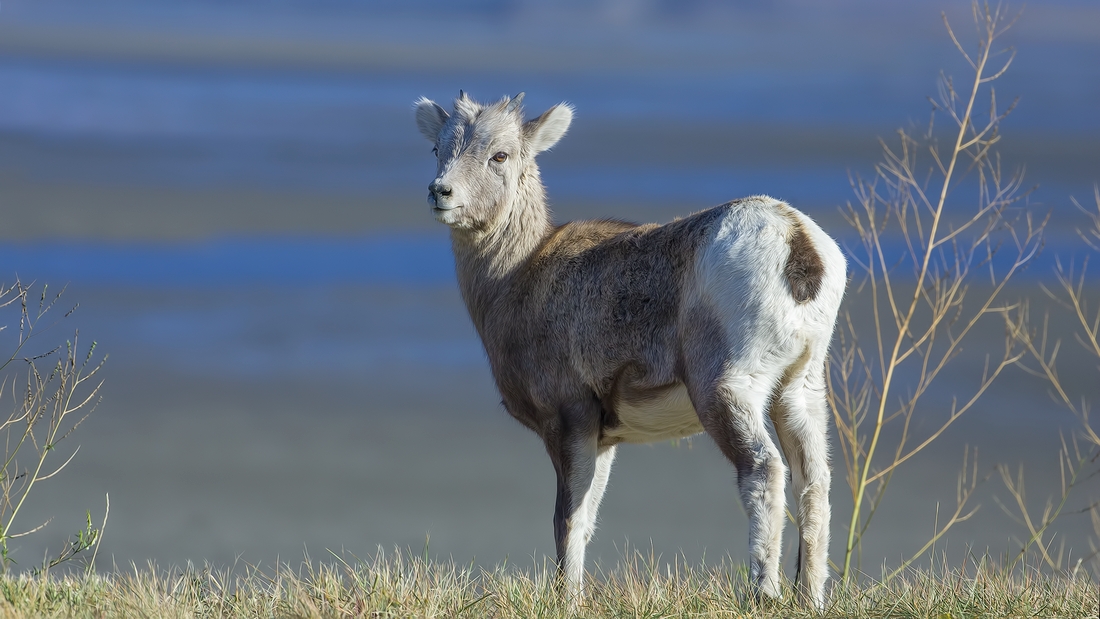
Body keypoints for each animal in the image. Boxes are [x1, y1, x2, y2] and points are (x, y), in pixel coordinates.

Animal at [415, 93, 844, 611]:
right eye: (438, 149)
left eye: (500, 155)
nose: (441, 192)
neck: (517, 277)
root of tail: (798, 245)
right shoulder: (605, 438)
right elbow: (586, 520)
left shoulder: (571, 420)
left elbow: (568, 520)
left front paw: (567, 601)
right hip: (798, 390)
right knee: (813, 483)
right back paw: (811, 599)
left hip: (727, 390)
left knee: (763, 472)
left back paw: (763, 593)